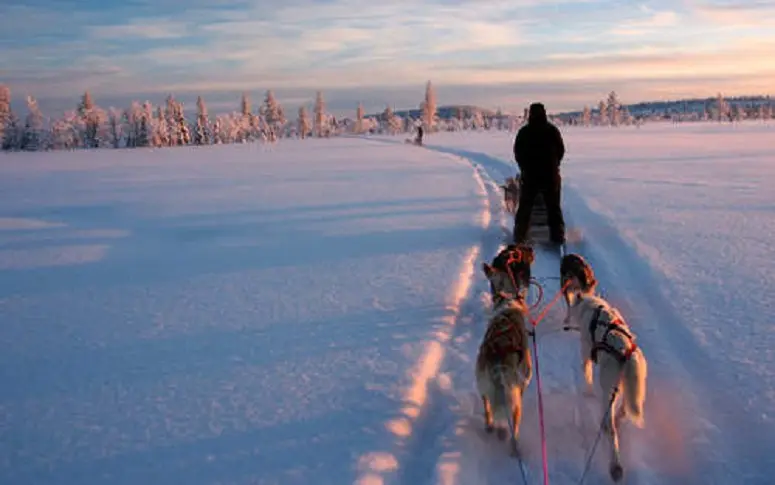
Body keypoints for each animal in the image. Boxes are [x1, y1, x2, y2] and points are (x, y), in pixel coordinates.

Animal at [476, 246, 536, 454]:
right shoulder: (526, 376)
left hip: (484, 390)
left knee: (488, 411)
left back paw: (490, 427)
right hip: (515, 400)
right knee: (514, 429)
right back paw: (514, 447)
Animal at [560, 253, 644, 480]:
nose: (567, 327)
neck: (592, 306)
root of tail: (626, 353)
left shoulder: (585, 352)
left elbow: (586, 372)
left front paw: (587, 390)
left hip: (608, 387)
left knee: (611, 427)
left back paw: (614, 461)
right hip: (631, 388)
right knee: (624, 410)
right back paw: (619, 417)